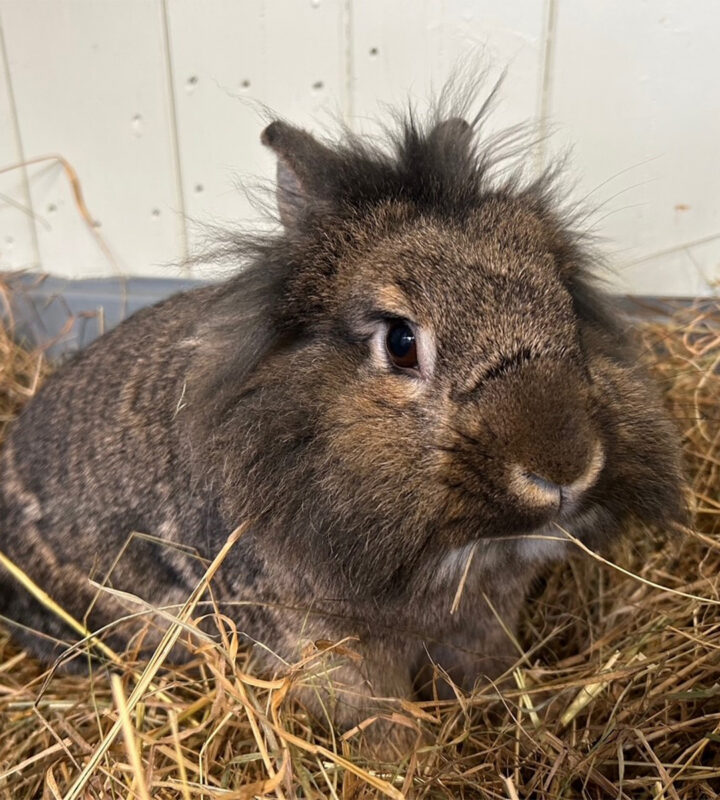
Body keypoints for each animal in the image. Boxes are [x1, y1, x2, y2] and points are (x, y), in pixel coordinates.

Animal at [0, 88, 685, 758]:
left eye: (565, 304)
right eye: (401, 342)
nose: (564, 468)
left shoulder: (483, 621)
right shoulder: (328, 652)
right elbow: (382, 729)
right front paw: (412, 766)